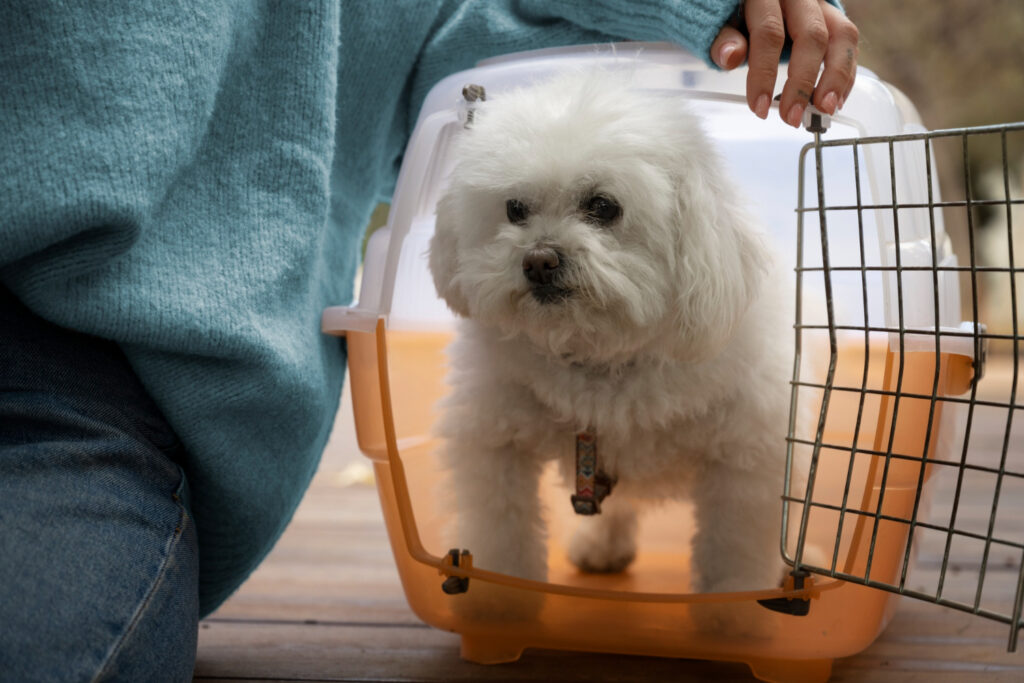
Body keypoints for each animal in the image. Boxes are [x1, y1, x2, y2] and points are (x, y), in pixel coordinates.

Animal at [428, 70, 802, 614]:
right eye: (514, 208)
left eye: (603, 206)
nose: (538, 260)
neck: (601, 357)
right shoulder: (495, 444)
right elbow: (503, 532)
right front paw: (501, 605)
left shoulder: (745, 460)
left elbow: (733, 550)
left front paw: (731, 616)